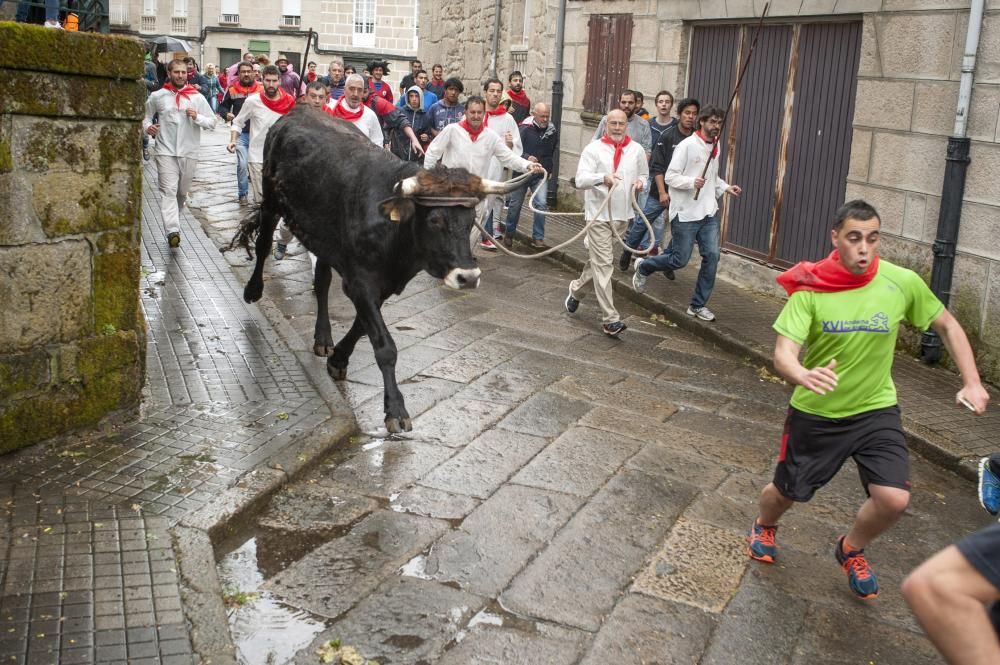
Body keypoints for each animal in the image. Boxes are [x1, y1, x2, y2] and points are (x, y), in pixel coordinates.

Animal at [230, 107, 520, 430]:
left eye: (470, 219)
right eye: (435, 220)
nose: (468, 277)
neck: (396, 235)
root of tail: (299, 110)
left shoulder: (383, 284)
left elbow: (361, 327)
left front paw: (338, 359)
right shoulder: (361, 281)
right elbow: (385, 346)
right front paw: (395, 409)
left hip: (325, 237)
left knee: (322, 280)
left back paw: (323, 338)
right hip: (271, 200)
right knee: (264, 244)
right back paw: (254, 290)